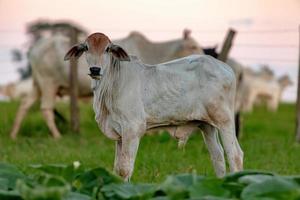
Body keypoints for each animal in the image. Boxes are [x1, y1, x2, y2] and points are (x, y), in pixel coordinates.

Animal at [65, 33, 244, 181]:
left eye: (107, 49)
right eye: (86, 47)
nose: (95, 69)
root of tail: (226, 67)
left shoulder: (133, 129)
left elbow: (124, 169)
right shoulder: (120, 134)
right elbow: (117, 169)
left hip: (225, 121)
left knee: (235, 155)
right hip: (207, 125)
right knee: (218, 157)